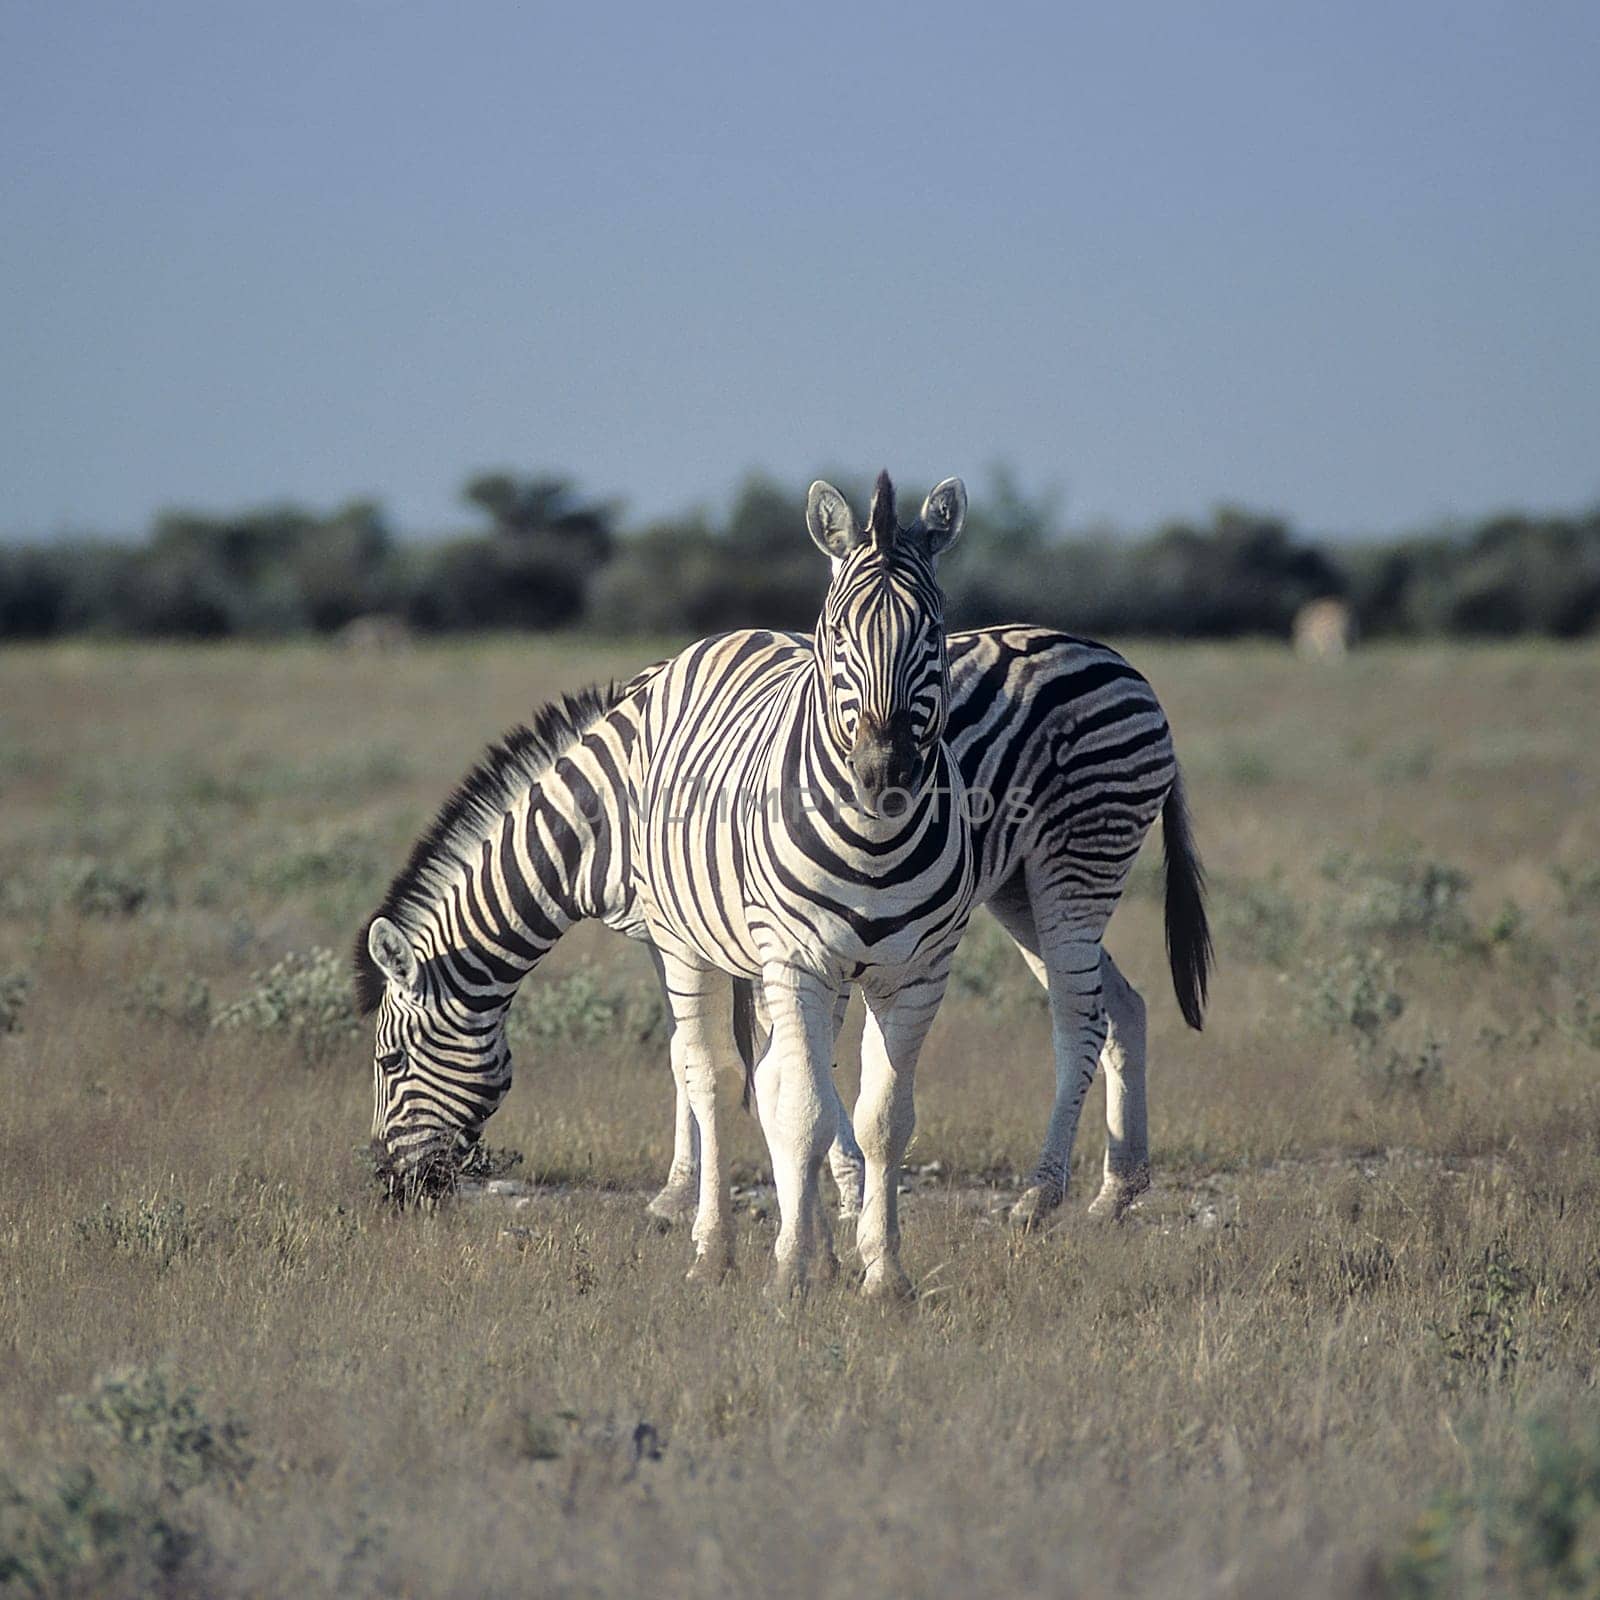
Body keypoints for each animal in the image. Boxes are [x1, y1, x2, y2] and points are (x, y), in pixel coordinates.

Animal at [360, 473, 972, 1299]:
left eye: (390, 1064)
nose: (390, 1189)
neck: (596, 814)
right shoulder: (723, 938)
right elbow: (750, 1071)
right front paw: (804, 1221)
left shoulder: (666, 932)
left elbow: (708, 1066)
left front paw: (707, 1205)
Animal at [649, 617, 1209, 1228]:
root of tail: (1127, 669)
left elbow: (708, 1051)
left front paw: (690, 1193)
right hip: (1021, 888)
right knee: (1123, 1003)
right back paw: (1119, 1188)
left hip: (1082, 848)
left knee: (1081, 1015)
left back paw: (1039, 1195)